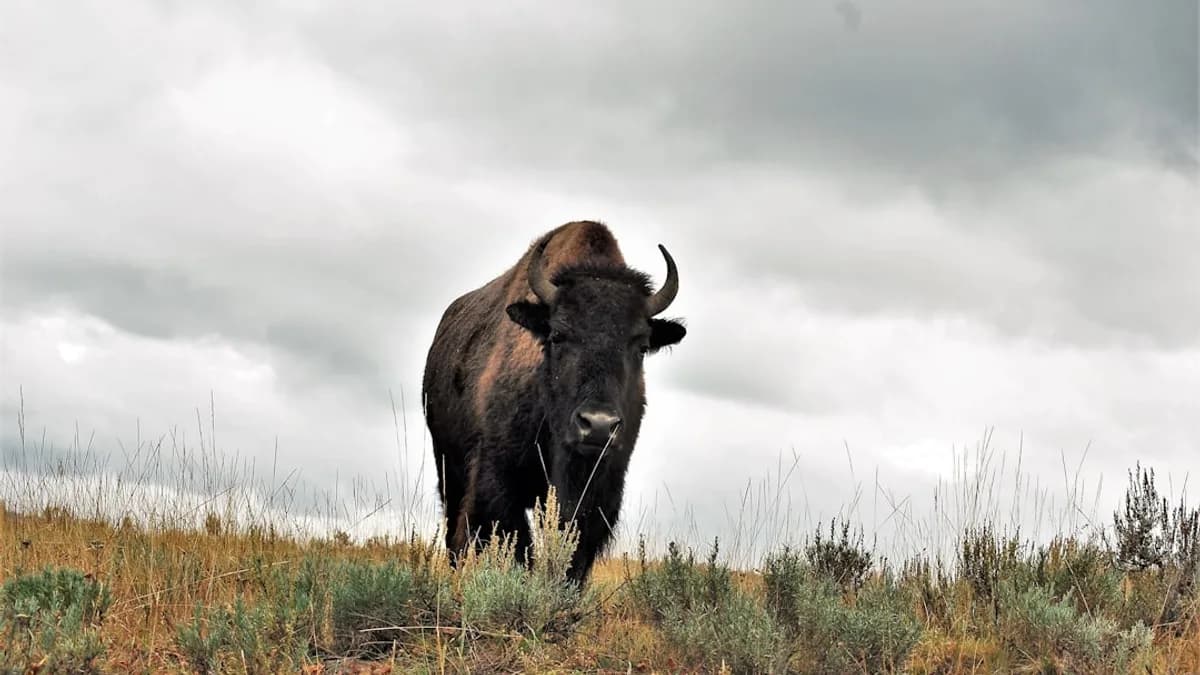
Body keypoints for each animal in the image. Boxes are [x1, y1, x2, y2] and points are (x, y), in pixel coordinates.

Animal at [421, 221, 686, 583]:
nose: (598, 426)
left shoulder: (600, 491)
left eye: (641, 345)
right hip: (448, 466)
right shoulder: (499, 481)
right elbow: (517, 547)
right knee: (455, 533)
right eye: (557, 335)